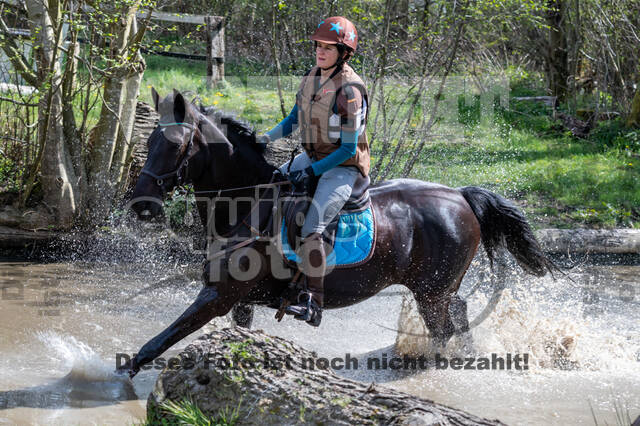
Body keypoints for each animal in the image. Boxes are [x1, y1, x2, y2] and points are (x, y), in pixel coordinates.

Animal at [124, 87, 556, 376]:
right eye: (151, 139)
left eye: (174, 144)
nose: (140, 203)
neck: (248, 202)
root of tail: (459, 196)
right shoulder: (239, 300)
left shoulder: (217, 295)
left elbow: (159, 341)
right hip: (437, 288)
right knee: (461, 315)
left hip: (431, 291)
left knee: (443, 328)